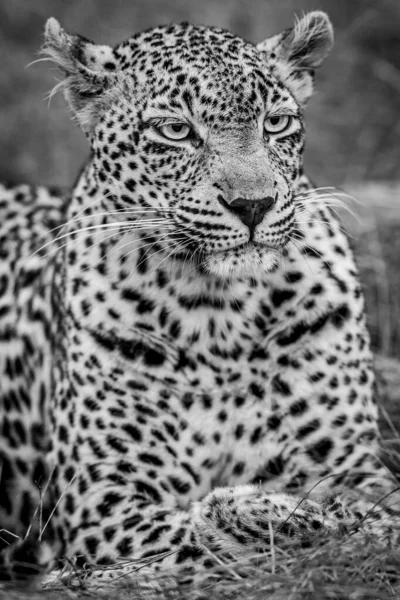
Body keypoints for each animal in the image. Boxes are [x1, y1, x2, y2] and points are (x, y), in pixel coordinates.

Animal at [0, 10, 398, 584]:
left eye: (276, 123)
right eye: (176, 131)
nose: (253, 204)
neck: (219, 314)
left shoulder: (349, 464)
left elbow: (378, 518)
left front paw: (265, 509)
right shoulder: (103, 498)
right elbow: (196, 542)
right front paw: (246, 510)